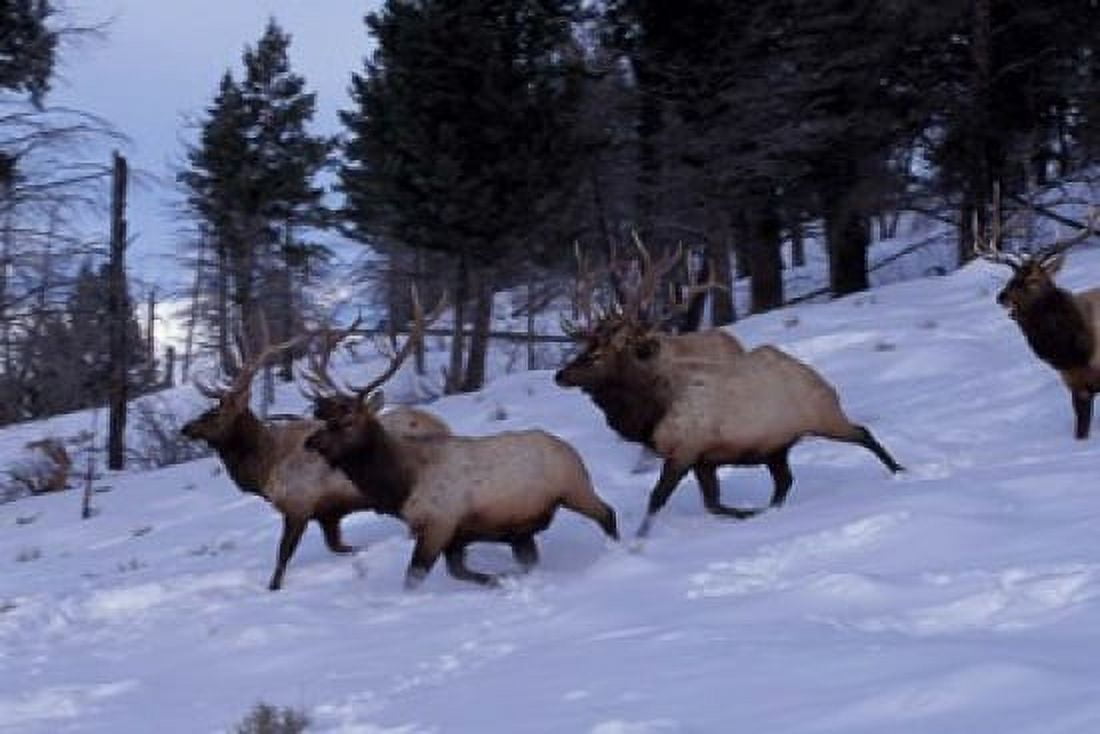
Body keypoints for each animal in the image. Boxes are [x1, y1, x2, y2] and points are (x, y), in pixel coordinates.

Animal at [180, 320, 448, 590]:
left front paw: (273, 588)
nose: (186, 428)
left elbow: (282, 559)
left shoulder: (299, 507)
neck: (266, 467)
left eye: (216, 413)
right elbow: (339, 546)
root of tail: (442, 425)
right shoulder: (327, 514)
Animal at [302, 290, 619, 589]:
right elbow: (460, 572)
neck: (402, 486)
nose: (310, 443)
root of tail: (569, 449)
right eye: (325, 419)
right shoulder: (455, 536)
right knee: (531, 556)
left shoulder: (439, 523)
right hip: (522, 529)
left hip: (575, 488)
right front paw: (497, 579)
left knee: (608, 514)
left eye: (346, 421)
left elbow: (413, 578)